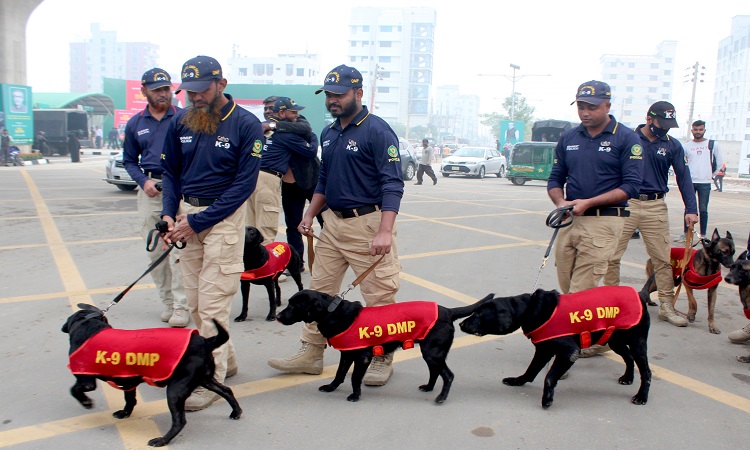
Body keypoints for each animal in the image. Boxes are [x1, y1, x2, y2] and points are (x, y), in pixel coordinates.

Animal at [63, 306, 244, 446]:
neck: (89, 327)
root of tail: (205, 342)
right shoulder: (129, 382)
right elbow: (130, 399)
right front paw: (125, 412)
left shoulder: (86, 380)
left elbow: (74, 390)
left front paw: (86, 402)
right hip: (205, 379)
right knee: (226, 390)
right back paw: (236, 412)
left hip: (175, 390)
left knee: (180, 421)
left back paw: (162, 440)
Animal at [276, 290, 494, 402]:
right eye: (289, 303)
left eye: (294, 305)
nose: (277, 316)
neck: (333, 312)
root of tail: (448, 311)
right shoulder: (346, 355)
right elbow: (339, 374)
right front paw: (330, 387)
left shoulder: (362, 358)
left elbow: (354, 378)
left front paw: (355, 395)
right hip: (431, 353)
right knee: (435, 372)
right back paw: (429, 388)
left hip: (433, 353)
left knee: (448, 375)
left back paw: (441, 397)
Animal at [458, 288, 652, 408]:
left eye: (479, 314)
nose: (460, 324)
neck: (530, 309)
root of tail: (640, 295)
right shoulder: (543, 350)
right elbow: (531, 370)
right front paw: (518, 381)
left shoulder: (569, 352)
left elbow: (549, 377)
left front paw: (547, 399)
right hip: (616, 341)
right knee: (629, 358)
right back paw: (628, 378)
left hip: (637, 343)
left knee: (646, 372)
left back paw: (642, 397)